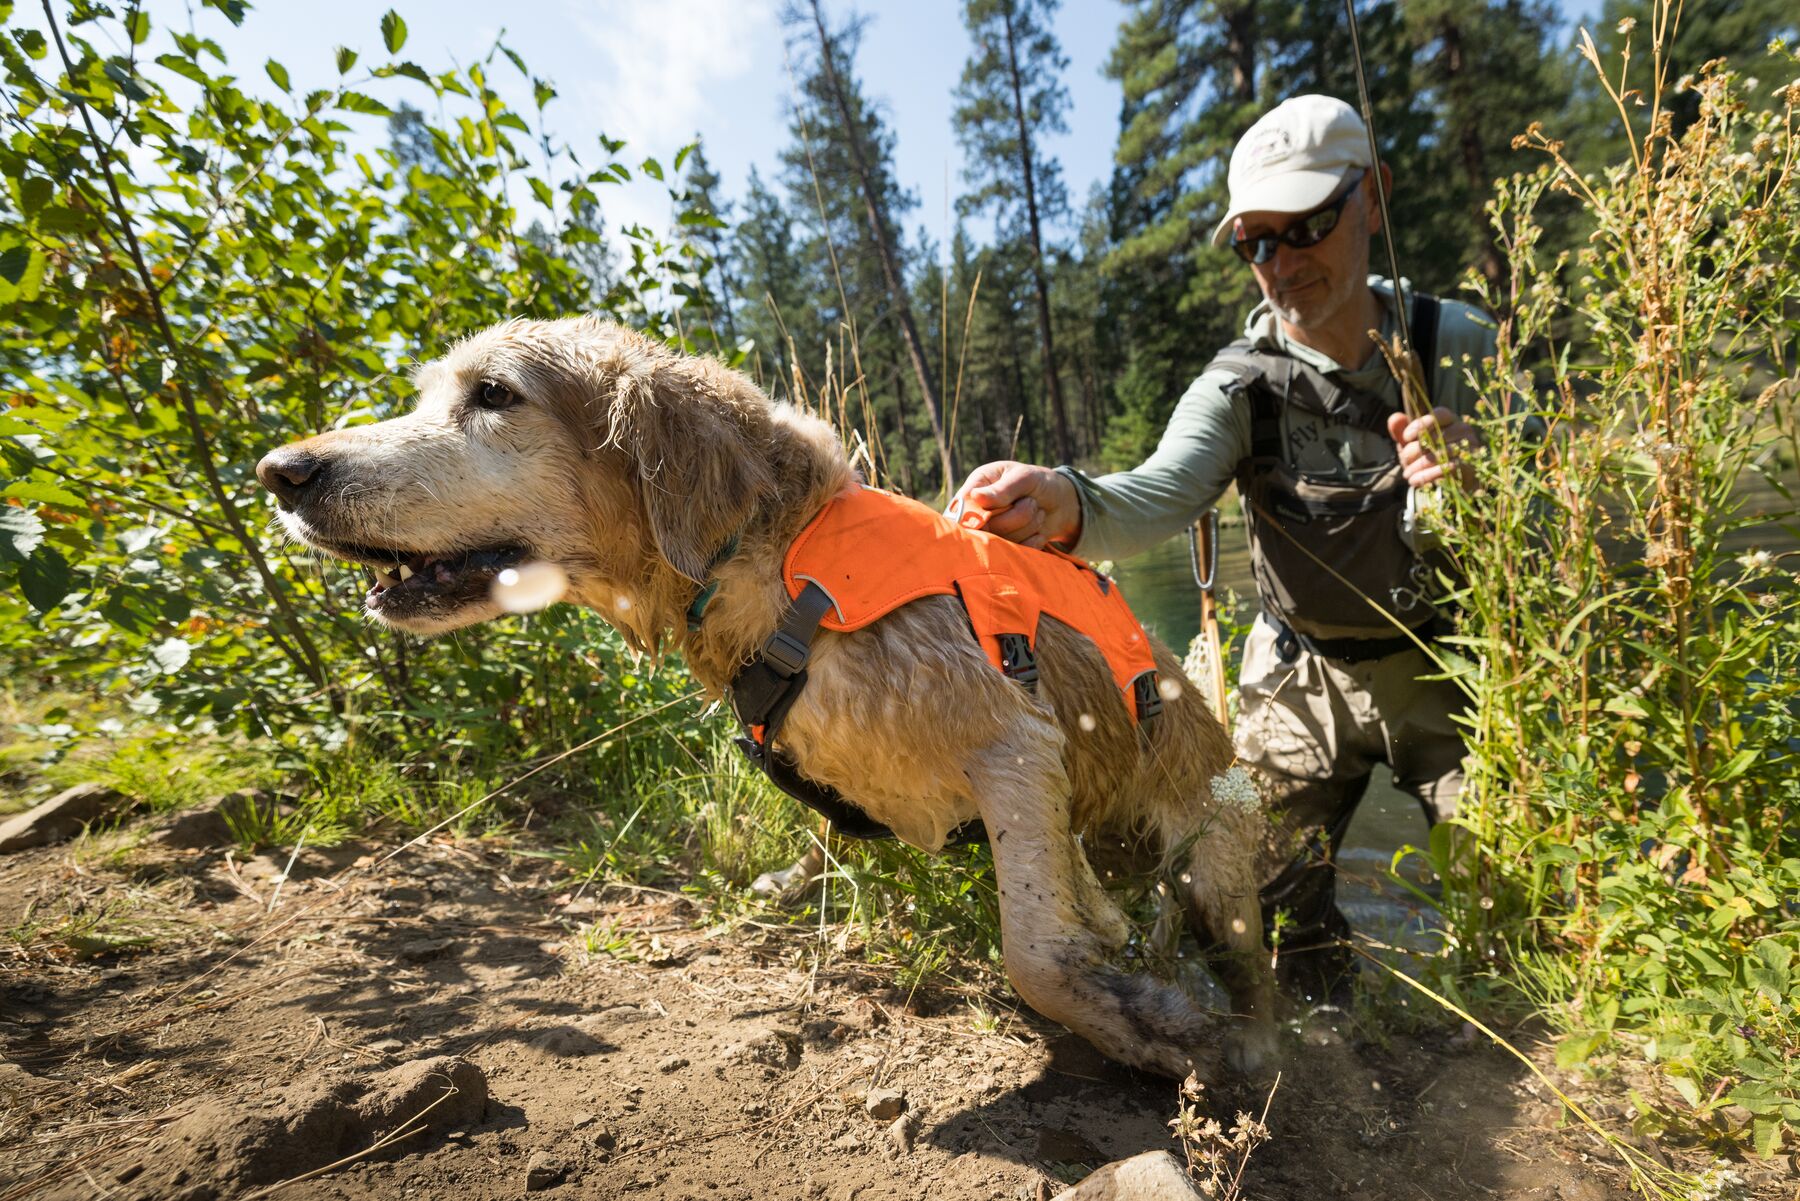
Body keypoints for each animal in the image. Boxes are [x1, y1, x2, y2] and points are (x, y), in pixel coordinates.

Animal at [257, 315, 1281, 1073]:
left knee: (1252, 965)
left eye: (495, 394)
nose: (282, 471)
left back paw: (1253, 1038)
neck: (781, 564)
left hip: (1218, 859)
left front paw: (1150, 1029)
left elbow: (1032, 953)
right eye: (430, 391)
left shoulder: (1015, 740)